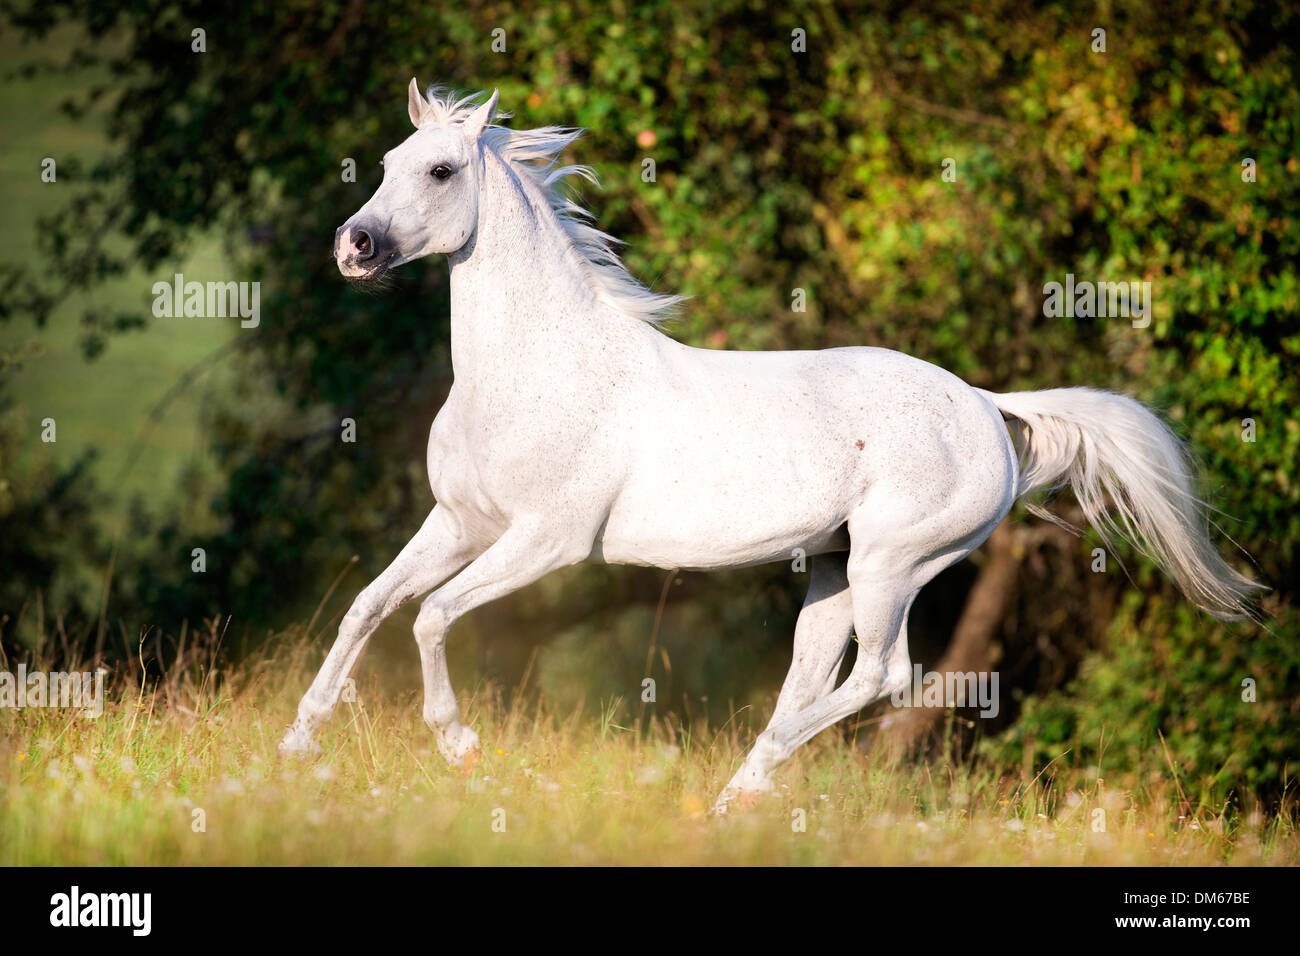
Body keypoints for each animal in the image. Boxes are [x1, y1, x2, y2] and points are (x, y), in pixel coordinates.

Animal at [279, 83, 1263, 816]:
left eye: (442, 169)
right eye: (386, 164)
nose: (354, 247)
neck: (537, 366)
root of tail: (987, 405)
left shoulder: (547, 542)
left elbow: (430, 617)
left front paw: (460, 746)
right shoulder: (459, 523)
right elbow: (368, 609)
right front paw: (295, 747)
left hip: (891, 564)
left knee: (882, 677)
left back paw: (737, 790)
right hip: (833, 572)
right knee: (814, 679)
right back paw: (735, 801)